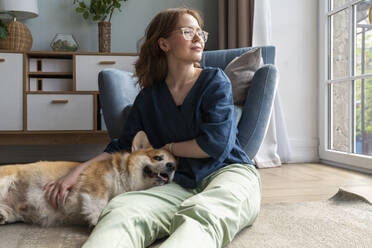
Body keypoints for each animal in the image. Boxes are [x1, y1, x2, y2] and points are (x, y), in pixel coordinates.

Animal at [0, 132, 177, 227]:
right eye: (157, 157)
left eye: (176, 164)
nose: (172, 166)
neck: (123, 178)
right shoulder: (96, 186)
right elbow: (99, 204)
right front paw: (96, 220)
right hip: (5, 181)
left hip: (13, 212)